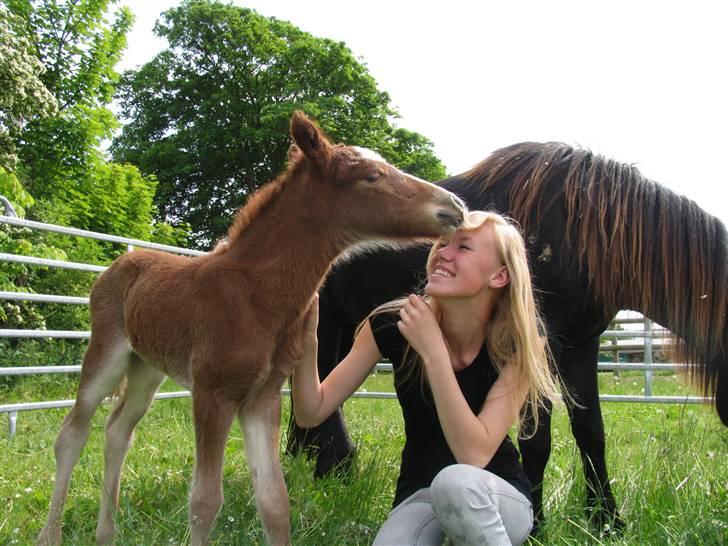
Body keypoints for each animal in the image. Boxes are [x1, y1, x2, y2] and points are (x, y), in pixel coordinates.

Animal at [35, 111, 466, 544]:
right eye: (372, 175)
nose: (455, 207)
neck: (256, 295)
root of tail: (122, 263)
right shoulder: (213, 393)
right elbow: (205, 501)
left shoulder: (263, 397)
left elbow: (274, 502)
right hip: (106, 352)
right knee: (72, 433)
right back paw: (50, 534)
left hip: (146, 367)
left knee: (118, 430)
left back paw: (105, 532)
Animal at [290, 139, 728, 528]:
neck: (581, 231)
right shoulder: (541, 345)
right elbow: (537, 441)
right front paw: (538, 526)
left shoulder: (581, 346)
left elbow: (591, 432)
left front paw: (607, 521)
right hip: (328, 320)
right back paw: (333, 466)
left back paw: (307, 459)